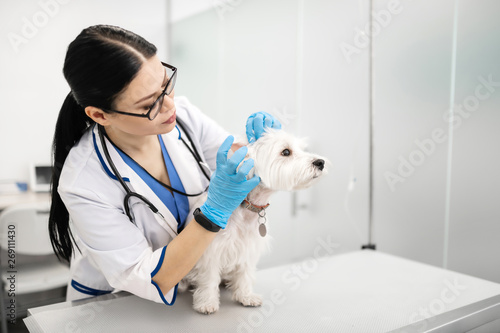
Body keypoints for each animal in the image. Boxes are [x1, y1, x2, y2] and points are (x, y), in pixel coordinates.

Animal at [180, 128, 328, 312]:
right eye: (286, 152)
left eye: (302, 148)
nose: (320, 162)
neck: (248, 206)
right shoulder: (211, 251)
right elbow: (209, 278)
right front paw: (207, 302)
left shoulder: (248, 248)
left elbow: (245, 274)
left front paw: (246, 296)